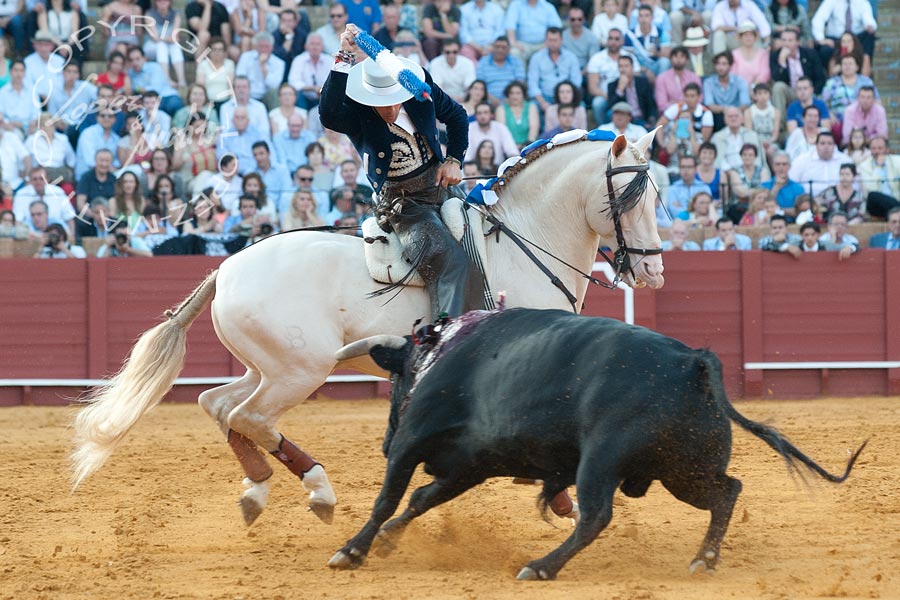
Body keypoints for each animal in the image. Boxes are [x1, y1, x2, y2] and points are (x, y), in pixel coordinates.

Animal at [72, 130, 660, 524]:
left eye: (657, 196)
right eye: (631, 198)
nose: (652, 270)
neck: (520, 239)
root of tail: (227, 268)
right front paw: (561, 499)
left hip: (269, 367)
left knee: (218, 404)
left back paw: (258, 490)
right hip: (299, 371)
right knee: (248, 416)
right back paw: (318, 490)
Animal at [328, 308, 864, 580]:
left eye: (395, 380)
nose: (382, 441)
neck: (437, 353)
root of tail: (691, 361)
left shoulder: (414, 440)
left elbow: (388, 497)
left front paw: (352, 551)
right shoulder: (471, 464)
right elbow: (422, 498)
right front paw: (389, 541)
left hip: (602, 460)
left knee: (596, 515)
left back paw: (540, 567)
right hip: (683, 469)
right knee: (727, 491)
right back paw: (704, 560)